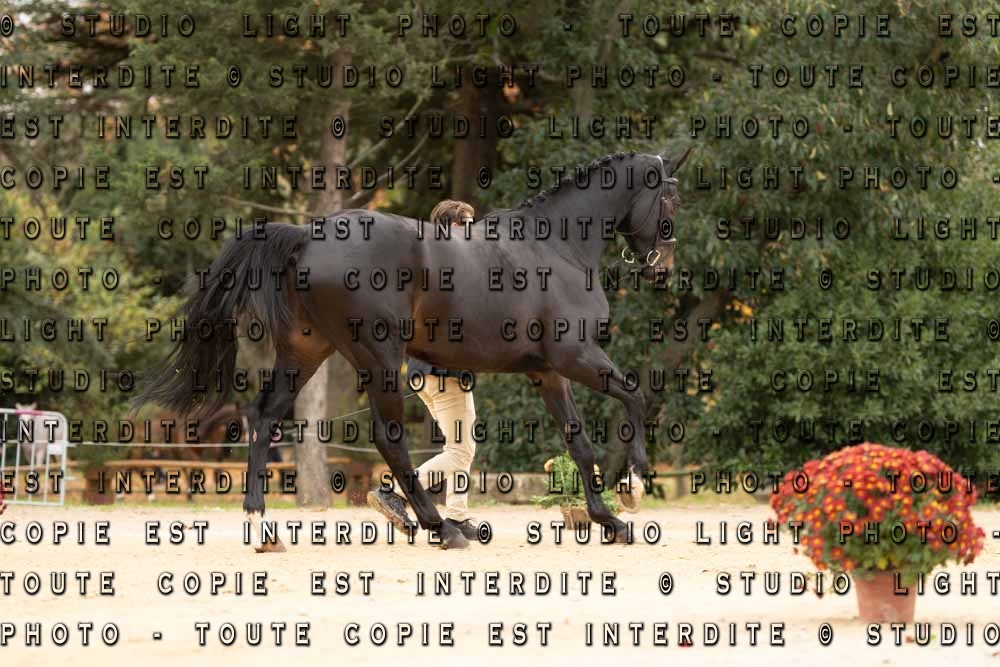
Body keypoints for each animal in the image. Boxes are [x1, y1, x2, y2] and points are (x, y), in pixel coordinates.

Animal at [133, 149, 691, 552]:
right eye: (670, 202)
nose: (662, 269)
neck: (556, 246)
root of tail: (307, 237)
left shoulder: (548, 373)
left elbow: (580, 443)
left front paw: (608, 520)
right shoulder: (576, 357)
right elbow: (636, 397)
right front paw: (635, 483)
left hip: (305, 352)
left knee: (263, 415)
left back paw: (261, 524)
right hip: (379, 358)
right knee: (390, 438)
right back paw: (438, 527)